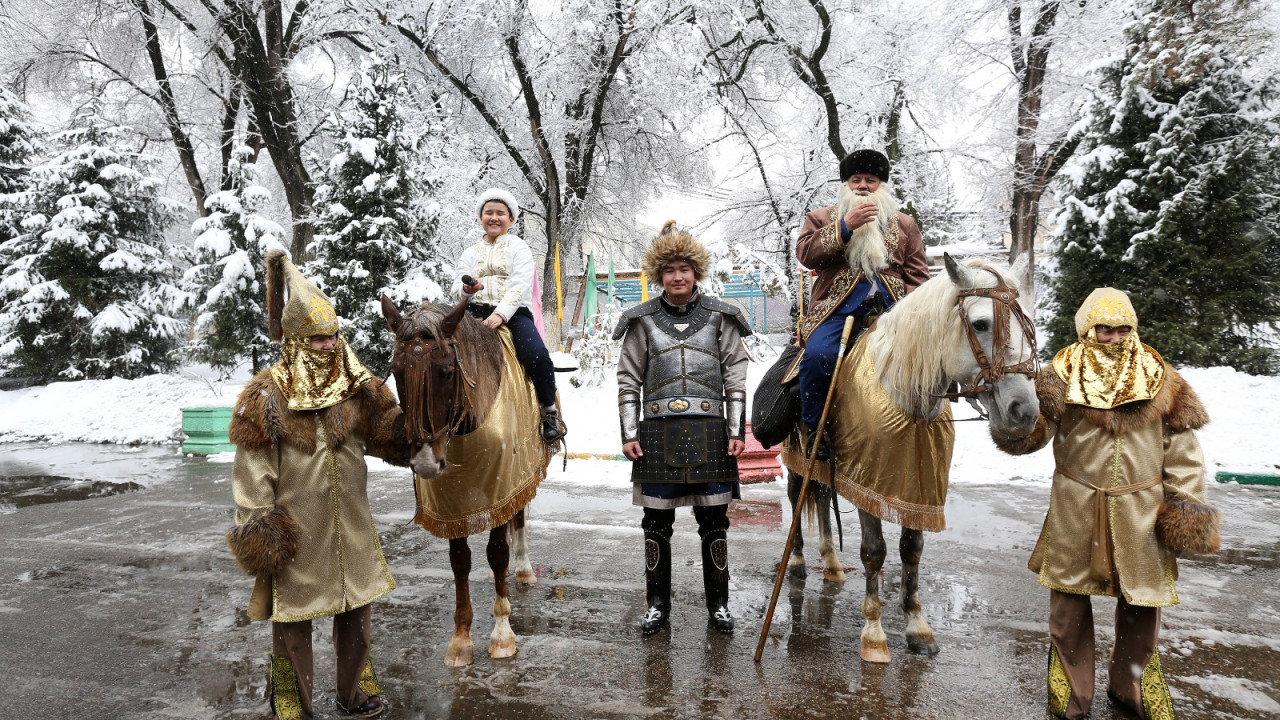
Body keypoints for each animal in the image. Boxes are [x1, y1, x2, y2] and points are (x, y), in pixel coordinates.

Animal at [373, 294, 545, 666]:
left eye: (447, 372)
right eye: (397, 372)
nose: (424, 463)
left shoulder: (502, 485)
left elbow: (497, 553)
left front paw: (502, 634)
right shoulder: (451, 502)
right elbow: (459, 562)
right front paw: (461, 639)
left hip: (523, 473)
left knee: (519, 518)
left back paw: (524, 569)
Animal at [778, 252, 1039, 661]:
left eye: (1029, 322)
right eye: (981, 323)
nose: (1024, 411)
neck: (907, 394)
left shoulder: (918, 486)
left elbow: (911, 550)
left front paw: (918, 627)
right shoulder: (868, 481)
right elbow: (874, 552)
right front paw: (873, 635)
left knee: (820, 499)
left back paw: (832, 564)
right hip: (798, 456)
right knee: (796, 498)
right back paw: (800, 562)